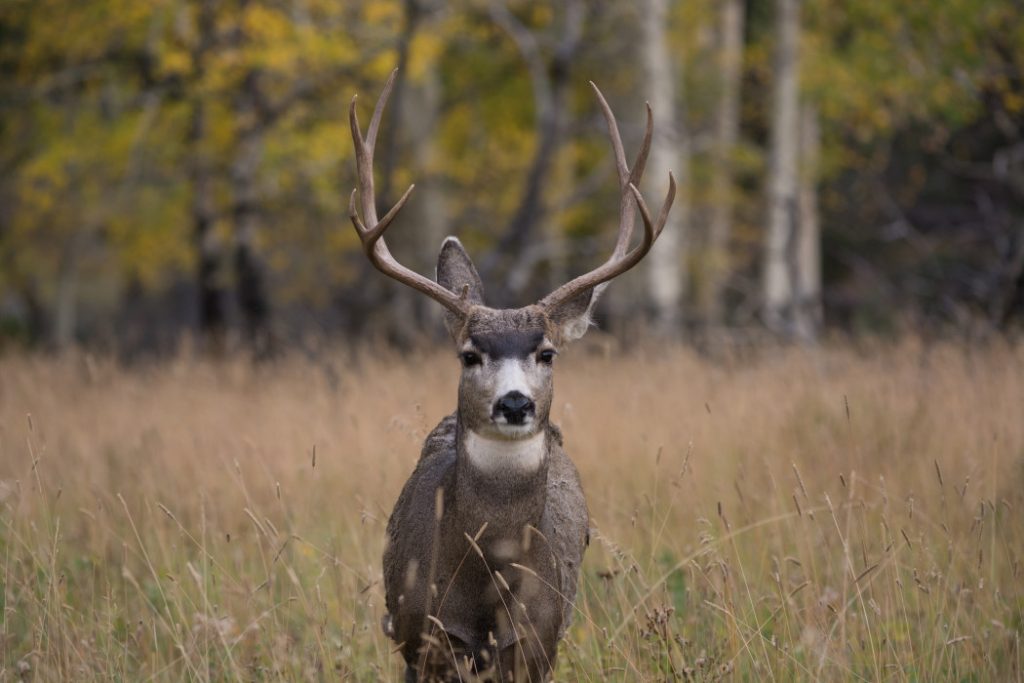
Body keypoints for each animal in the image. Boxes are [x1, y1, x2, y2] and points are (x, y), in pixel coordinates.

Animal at [348, 70, 675, 682]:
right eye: (468, 355)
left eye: (546, 353)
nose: (516, 404)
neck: (483, 577)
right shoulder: (424, 637)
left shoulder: (536, 641)